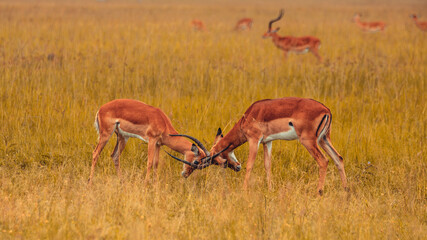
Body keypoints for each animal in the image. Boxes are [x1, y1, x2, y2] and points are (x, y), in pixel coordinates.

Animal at [87, 98, 229, 185]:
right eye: (196, 161)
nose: (185, 174)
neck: (163, 121)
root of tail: (101, 109)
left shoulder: (158, 144)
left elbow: (156, 163)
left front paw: (155, 185)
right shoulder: (151, 140)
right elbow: (149, 162)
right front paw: (146, 185)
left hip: (122, 137)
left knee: (115, 156)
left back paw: (122, 182)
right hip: (106, 134)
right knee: (95, 153)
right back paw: (90, 182)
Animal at [184, 97, 348, 195]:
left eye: (216, 161)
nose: (237, 167)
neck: (248, 117)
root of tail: (326, 110)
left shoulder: (254, 140)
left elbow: (250, 165)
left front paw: (243, 190)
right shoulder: (267, 142)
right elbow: (267, 165)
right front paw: (270, 190)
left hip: (308, 141)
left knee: (323, 161)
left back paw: (319, 192)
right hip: (324, 139)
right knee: (338, 158)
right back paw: (346, 191)